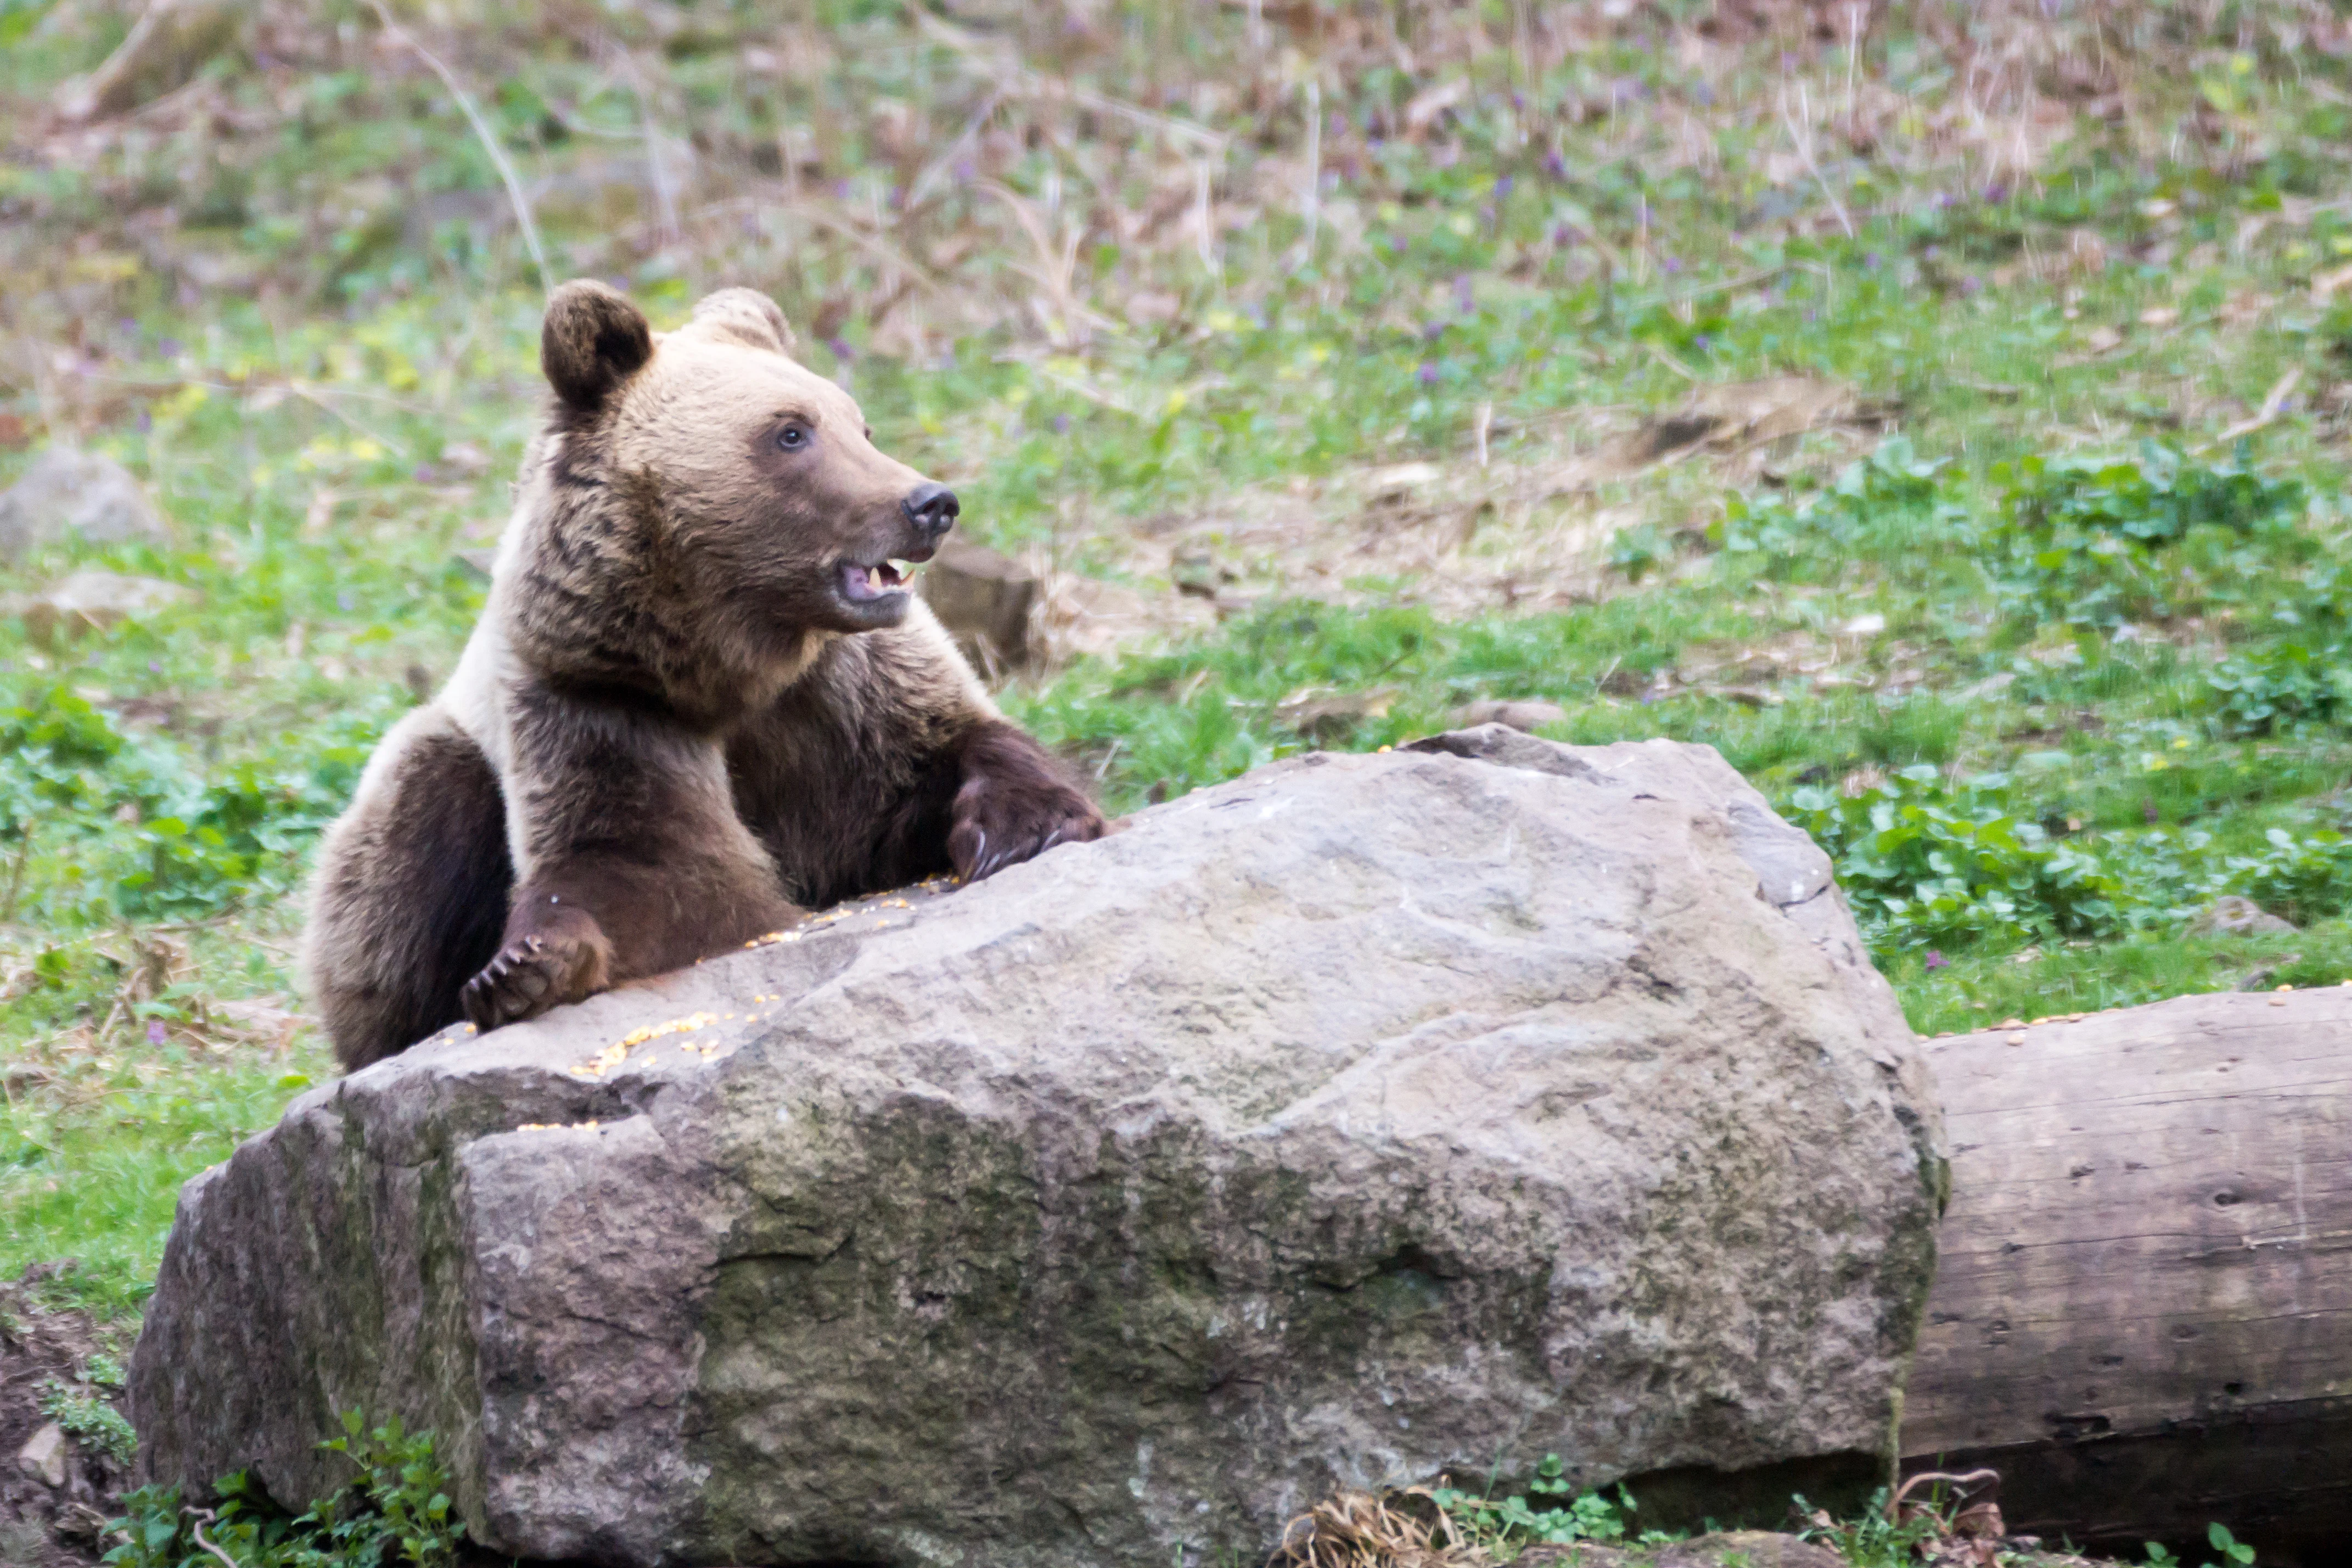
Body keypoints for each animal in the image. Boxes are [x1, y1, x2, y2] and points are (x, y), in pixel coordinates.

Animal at [302, 280, 1106, 1071]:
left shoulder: (847, 687)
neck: (733, 658)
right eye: (791, 432)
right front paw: (522, 967)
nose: (930, 503)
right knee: (408, 843)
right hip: (435, 774)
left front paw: (1019, 829)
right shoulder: (599, 700)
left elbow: (946, 748)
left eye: (862, 426)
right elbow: (644, 865)